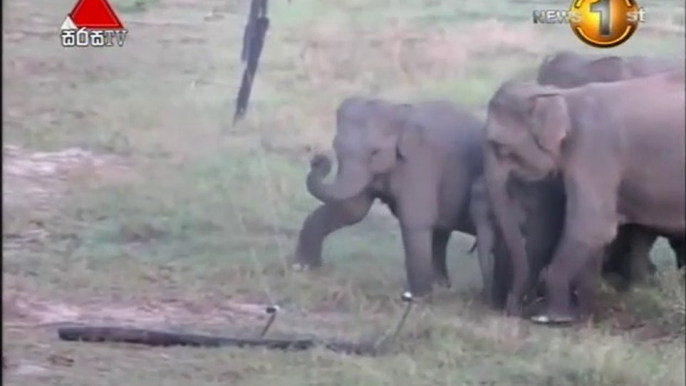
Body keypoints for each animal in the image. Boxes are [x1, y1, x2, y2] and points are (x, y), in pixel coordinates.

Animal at [292, 96, 486, 296]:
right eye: (336, 146)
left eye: (375, 152)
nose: (317, 159)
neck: (401, 111)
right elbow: (352, 211)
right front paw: (301, 267)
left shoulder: (421, 165)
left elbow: (414, 222)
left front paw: (415, 296)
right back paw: (442, 286)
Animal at [484, 69, 686, 322]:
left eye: (498, 145)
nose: (513, 313)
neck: (563, 96)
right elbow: (595, 236)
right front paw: (583, 316)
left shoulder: (592, 150)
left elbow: (592, 227)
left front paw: (553, 318)